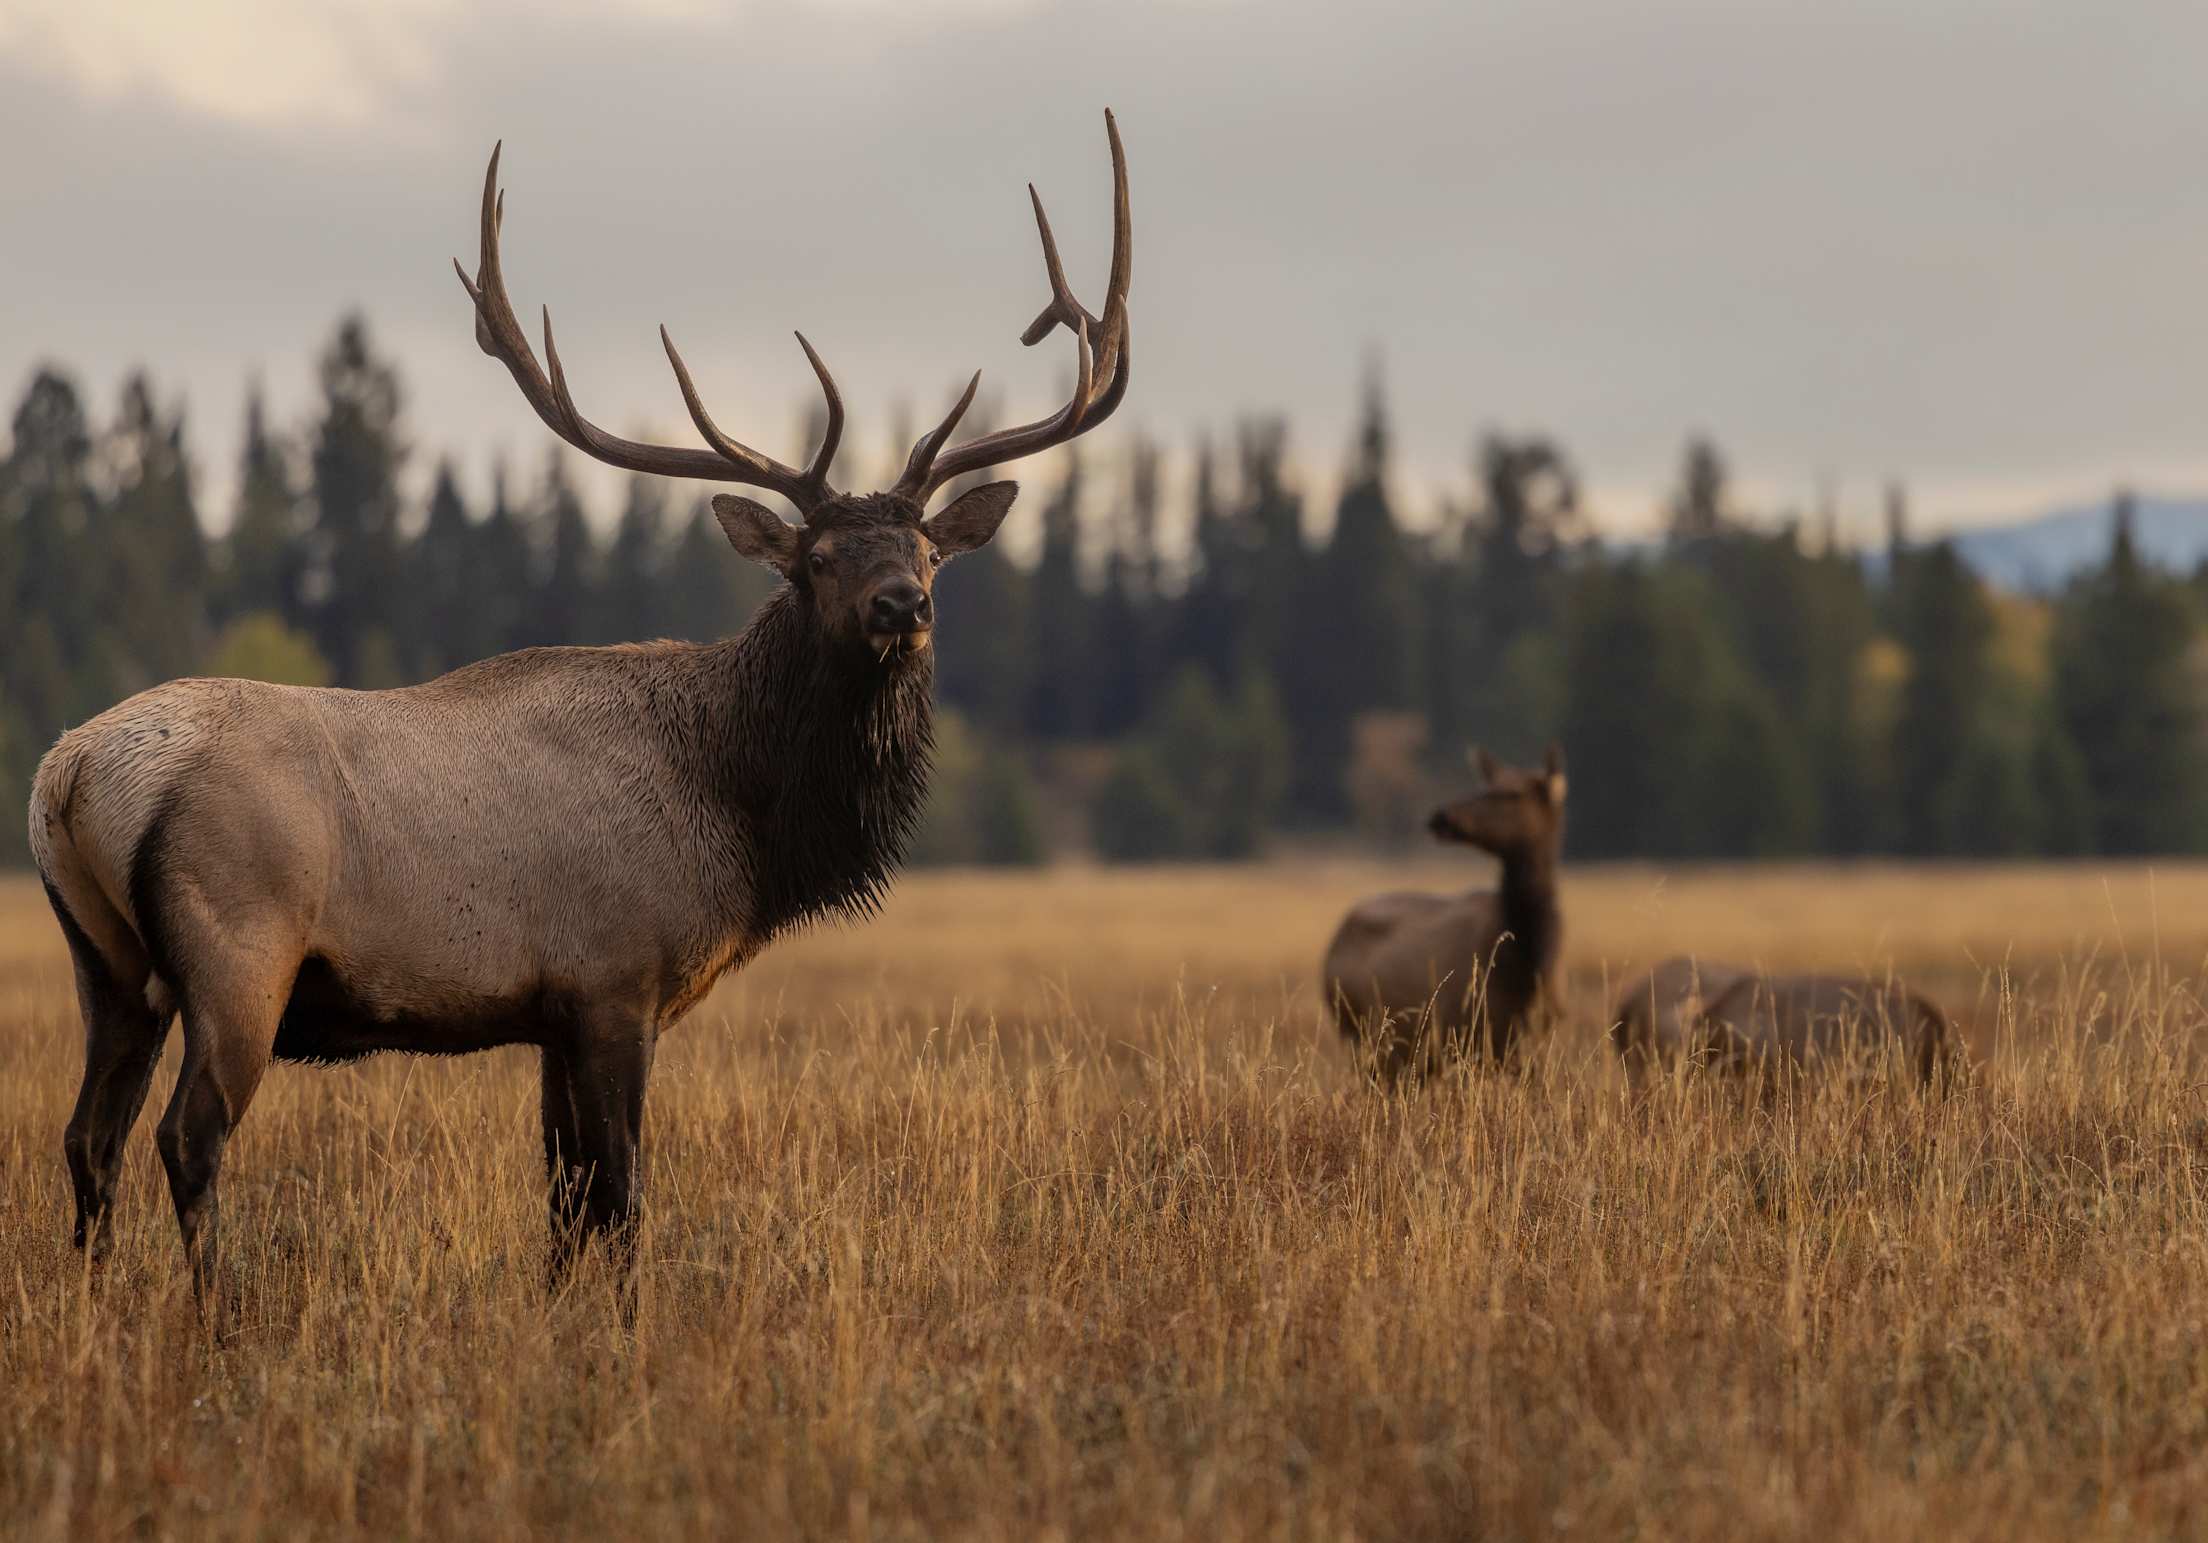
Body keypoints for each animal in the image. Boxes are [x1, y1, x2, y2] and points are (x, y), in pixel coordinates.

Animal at [27, 113, 1132, 1295]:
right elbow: (620, 1198)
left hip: (108, 966)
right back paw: (217, 1309)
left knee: (88, 1136)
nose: (903, 606)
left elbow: (561, 1203)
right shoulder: (613, 981)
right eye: (820, 558)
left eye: (929, 552)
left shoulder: (551, 1010)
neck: (742, 812)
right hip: (238, 949)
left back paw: (98, 1303)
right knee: (186, 1134)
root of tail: (68, 774)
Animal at [1322, 745, 1566, 1083]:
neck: (1529, 962)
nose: (1442, 816)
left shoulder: (1535, 1041)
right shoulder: (1472, 1036)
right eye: (1486, 785)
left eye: (1513, 793)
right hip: (1362, 1032)